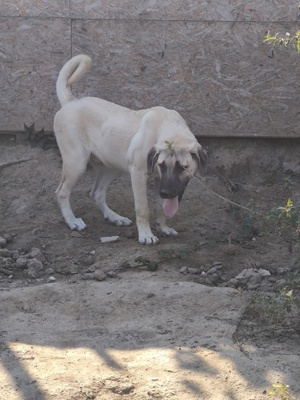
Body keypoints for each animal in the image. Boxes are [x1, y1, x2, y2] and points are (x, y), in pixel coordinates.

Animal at [54, 54, 207, 244]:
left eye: (182, 167)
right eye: (162, 165)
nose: (165, 192)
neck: (169, 127)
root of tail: (71, 101)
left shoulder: (160, 180)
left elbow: (161, 207)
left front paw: (163, 228)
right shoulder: (139, 174)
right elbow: (143, 209)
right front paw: (146, 235)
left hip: (110, 167)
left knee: (97, 193)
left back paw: (114, 218)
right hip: (77, 163)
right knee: (61, 193)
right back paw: (72, 221)